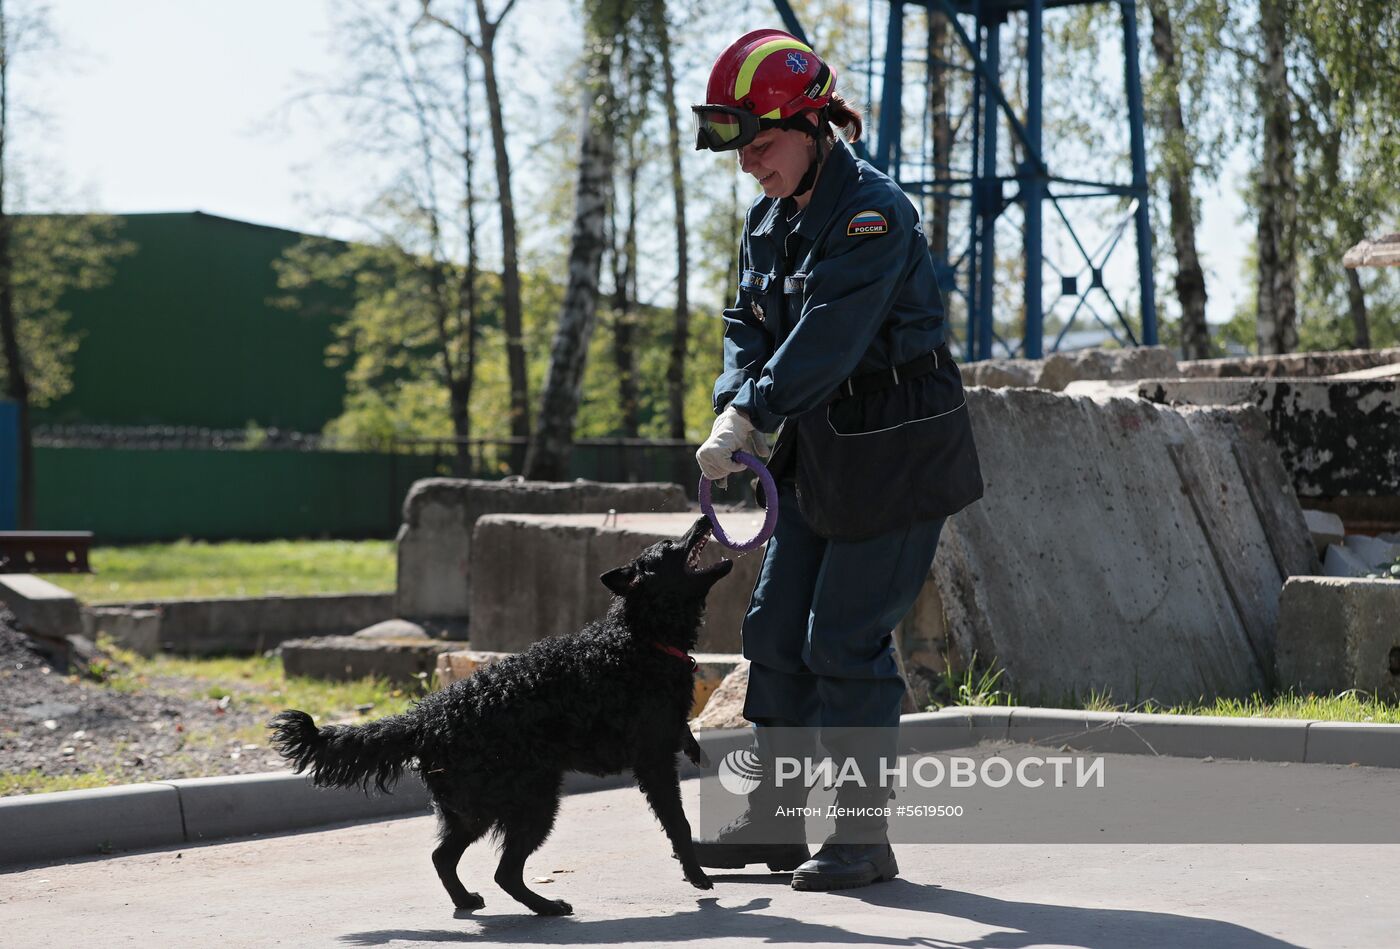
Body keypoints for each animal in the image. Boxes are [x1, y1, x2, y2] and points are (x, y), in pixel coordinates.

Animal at [270, 517, 733, 918]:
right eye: (670, 546)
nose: (703, 520)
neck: (639, 639)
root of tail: (425, 719)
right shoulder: (654, 761)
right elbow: (679, 823)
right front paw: (697, 876)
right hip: (529, 801)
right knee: (504, 872)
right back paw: (547, 907)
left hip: (472, 810)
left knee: (444, 857)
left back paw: (468, 900)